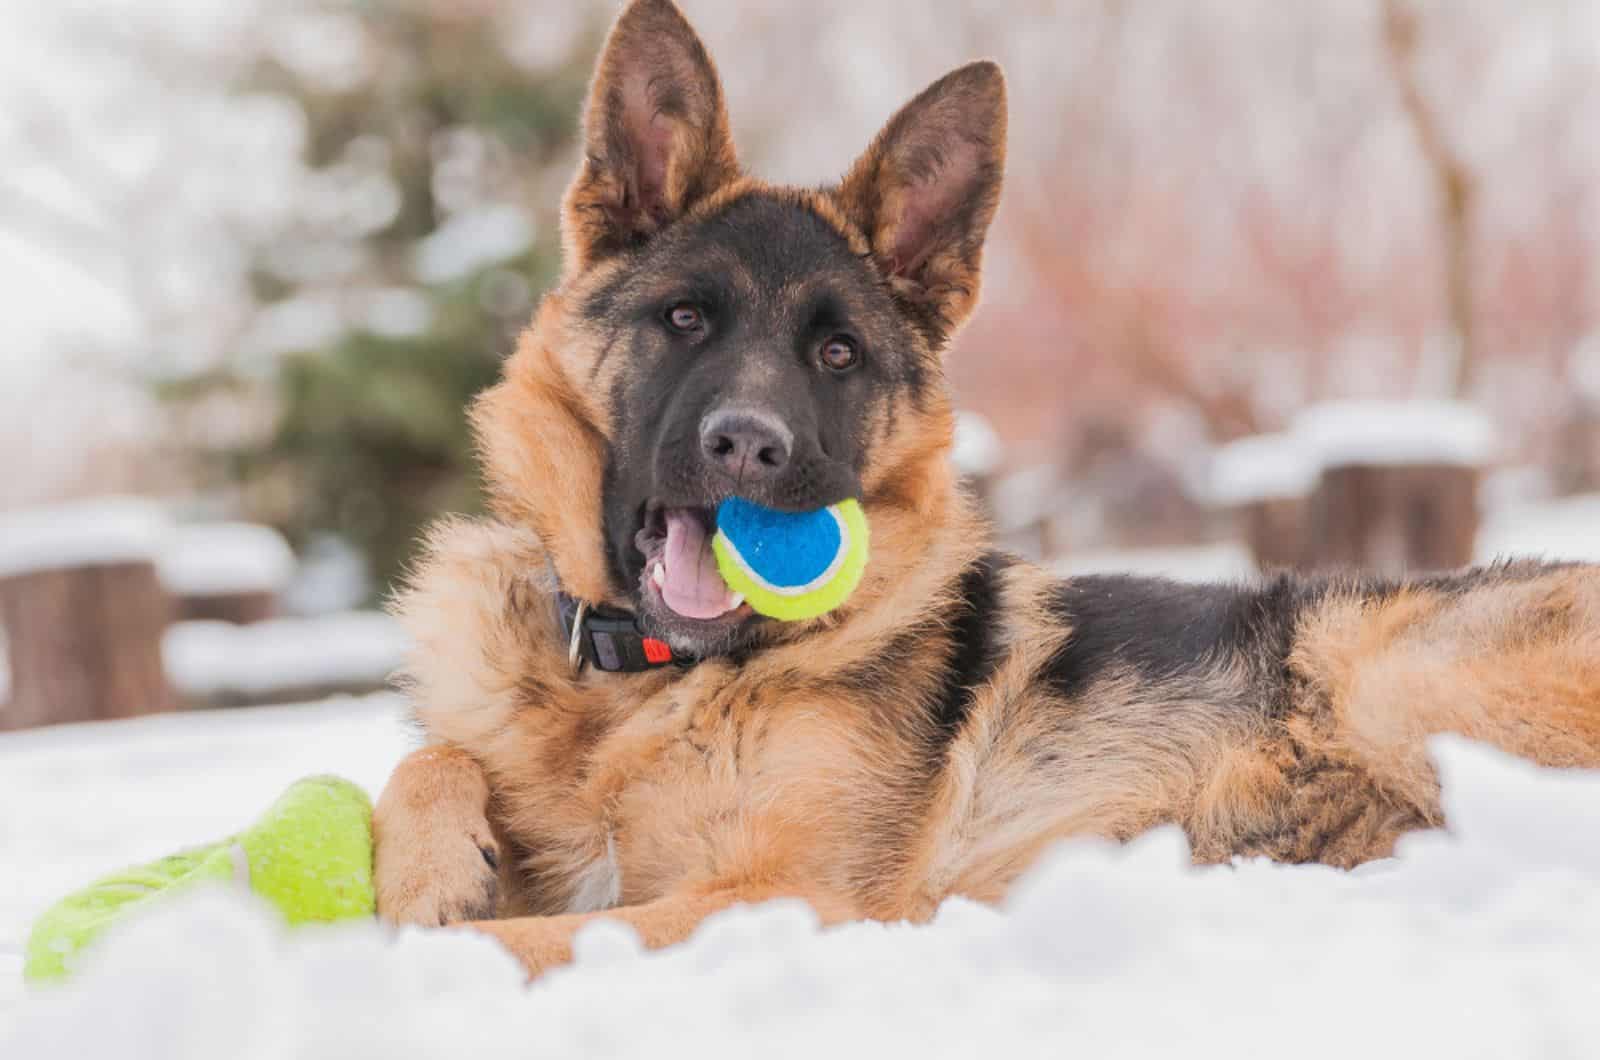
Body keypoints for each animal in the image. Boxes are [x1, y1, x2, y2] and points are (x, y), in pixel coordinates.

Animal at [371, 0, 1600, 979]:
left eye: (838, 355)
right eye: (685, 319)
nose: (749, 448)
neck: (642, 685)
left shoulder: (783, 899)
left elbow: (537, 937)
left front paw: (399, 957)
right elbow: (428, 759)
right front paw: (425, 870)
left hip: (1386, 675)